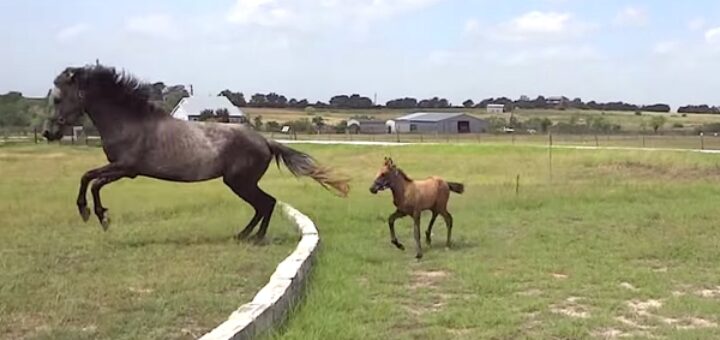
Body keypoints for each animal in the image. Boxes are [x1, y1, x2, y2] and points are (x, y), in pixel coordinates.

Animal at [43, 65, 352, 242]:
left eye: (57, 98)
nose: (48, 133)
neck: (130, 122)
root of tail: (265, 141)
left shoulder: (125, 168)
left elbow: (89, 179)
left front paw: (93, 214)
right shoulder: (123, 170)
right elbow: (92, 180)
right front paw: (99, 215)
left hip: (239, 182)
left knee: (266, 203)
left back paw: (253, 238)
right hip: (240, 182)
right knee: (264, 204)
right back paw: (244, 235)